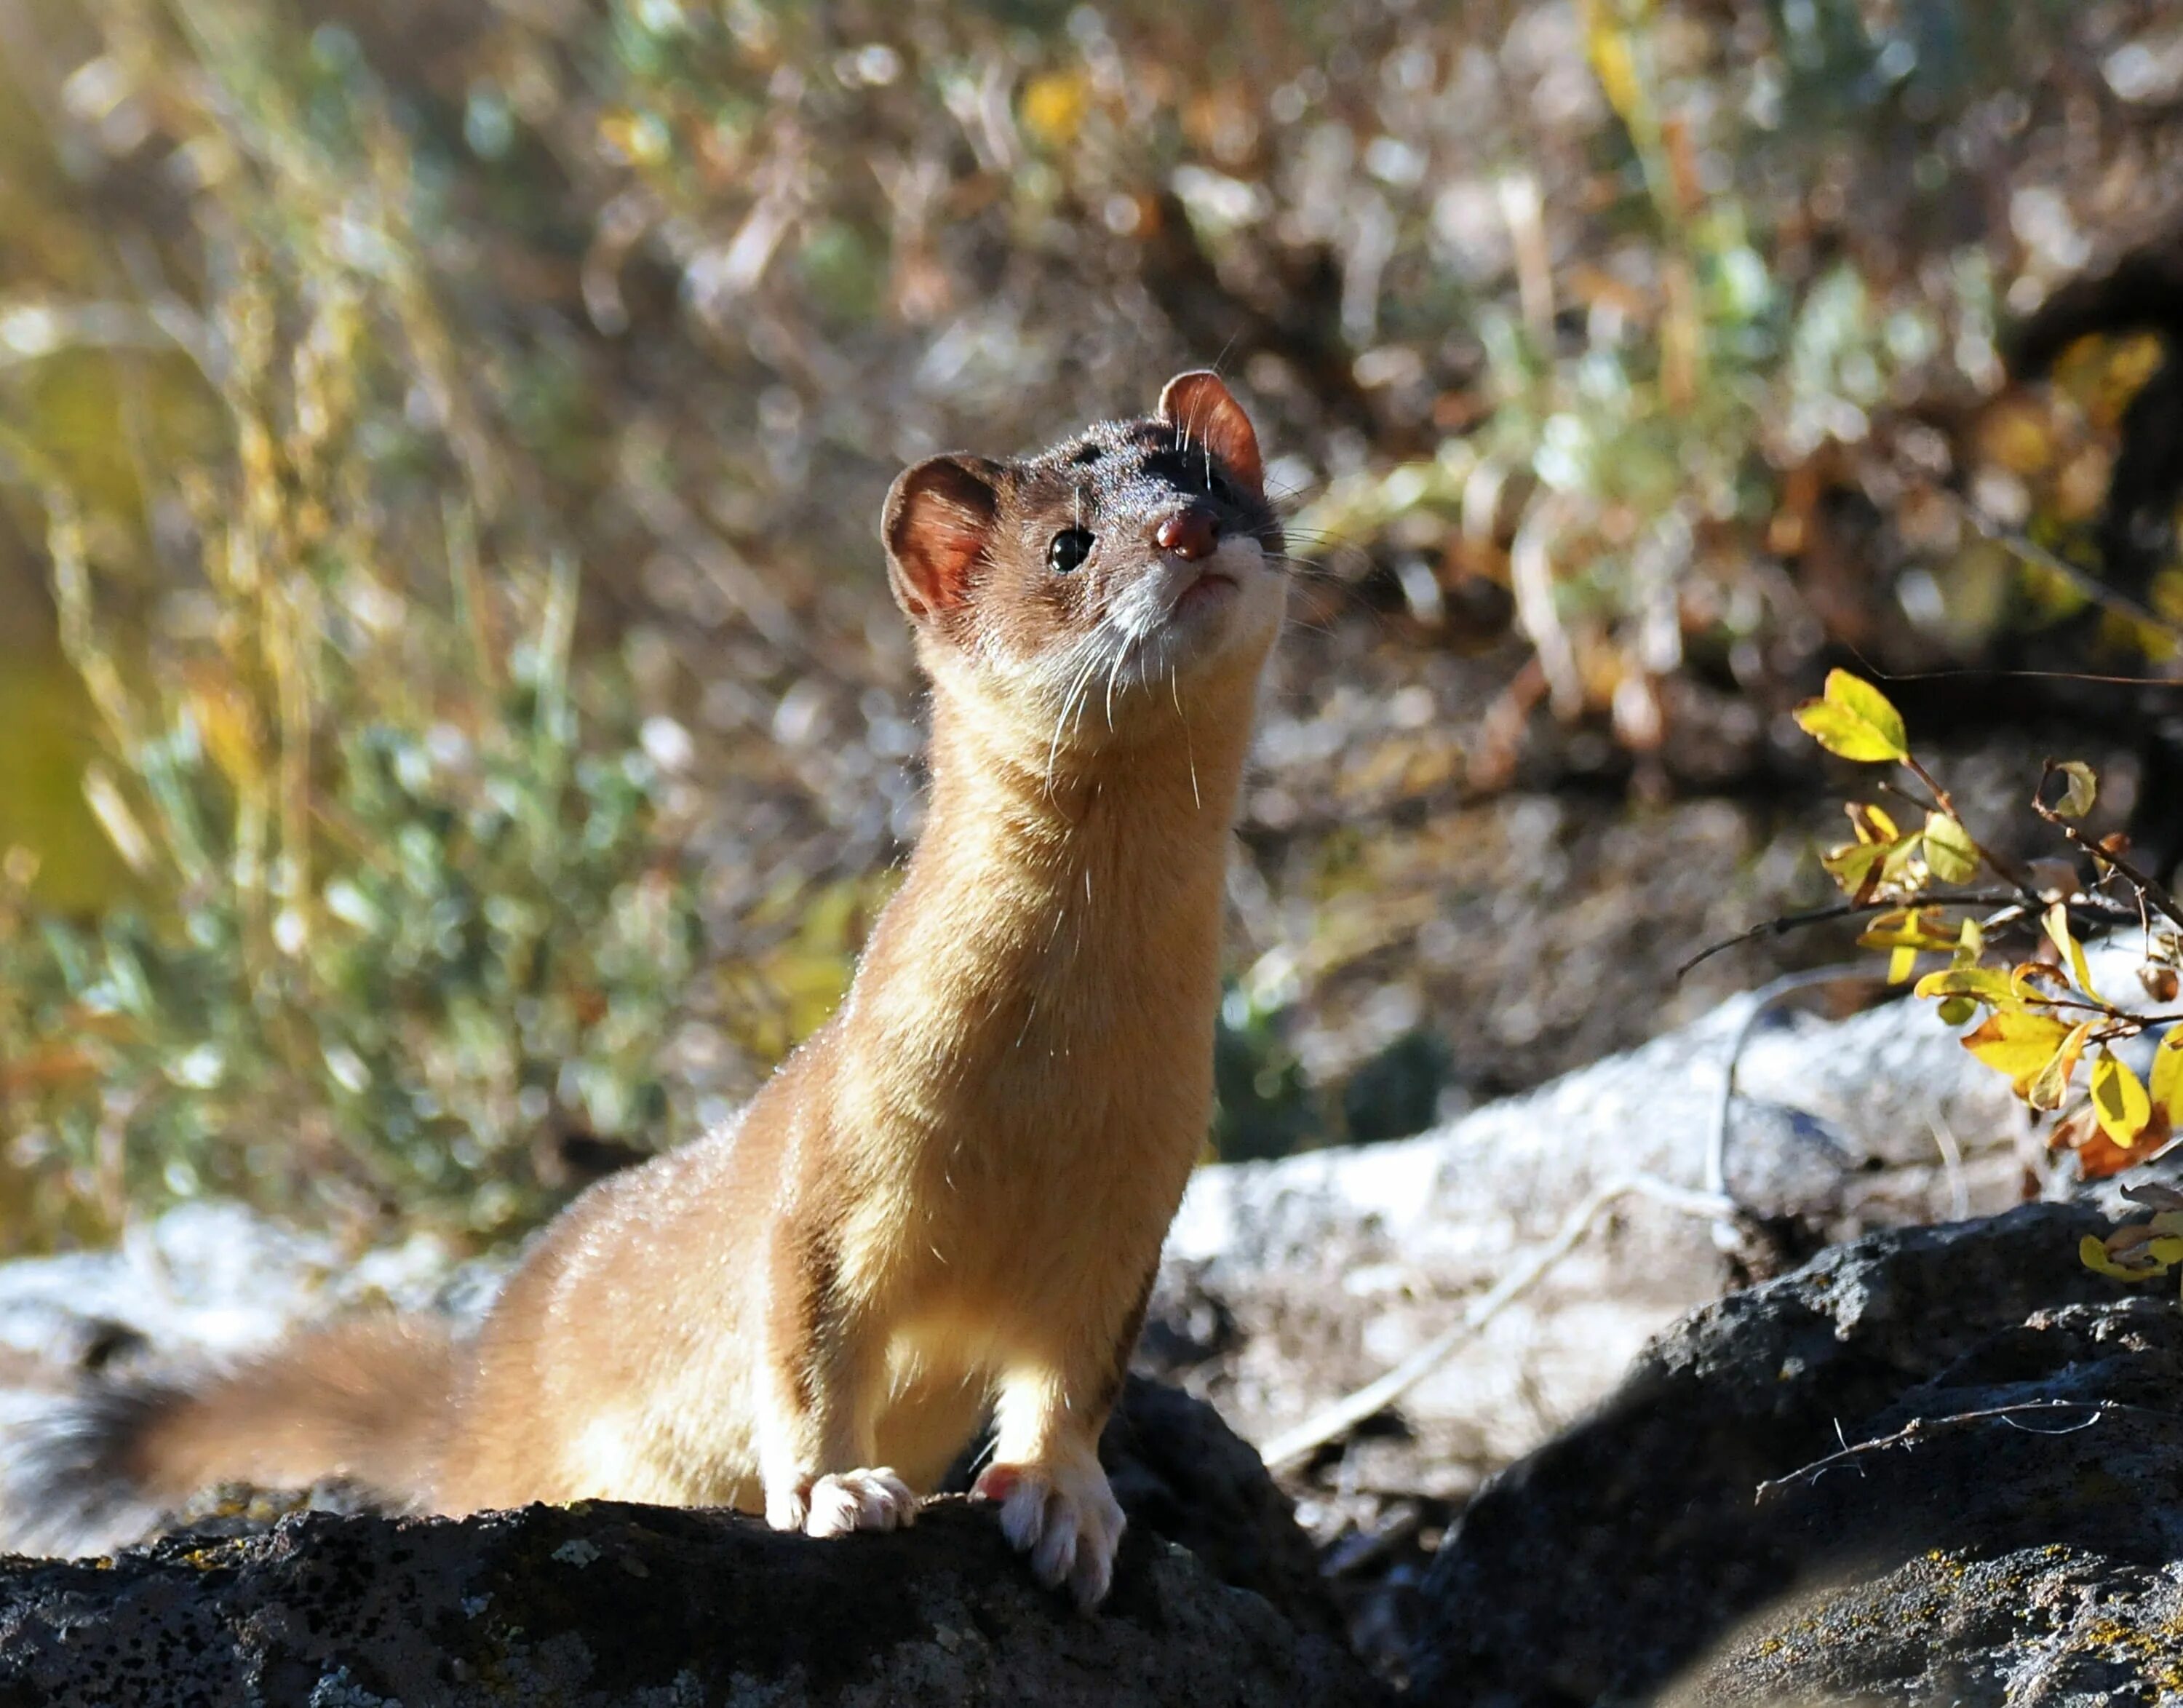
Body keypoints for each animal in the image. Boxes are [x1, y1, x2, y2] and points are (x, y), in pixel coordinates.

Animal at [0, 367, 1284, 1616]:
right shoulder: (835, 1163)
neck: (1047, 1099)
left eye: (1212, 480)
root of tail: (474, 1383)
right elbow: (805, 1346)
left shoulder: (1135, 1208)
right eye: (1067, 545)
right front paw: (835, 1488)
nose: (1184, 529)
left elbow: (1072, 1384)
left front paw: (1068, 1505)